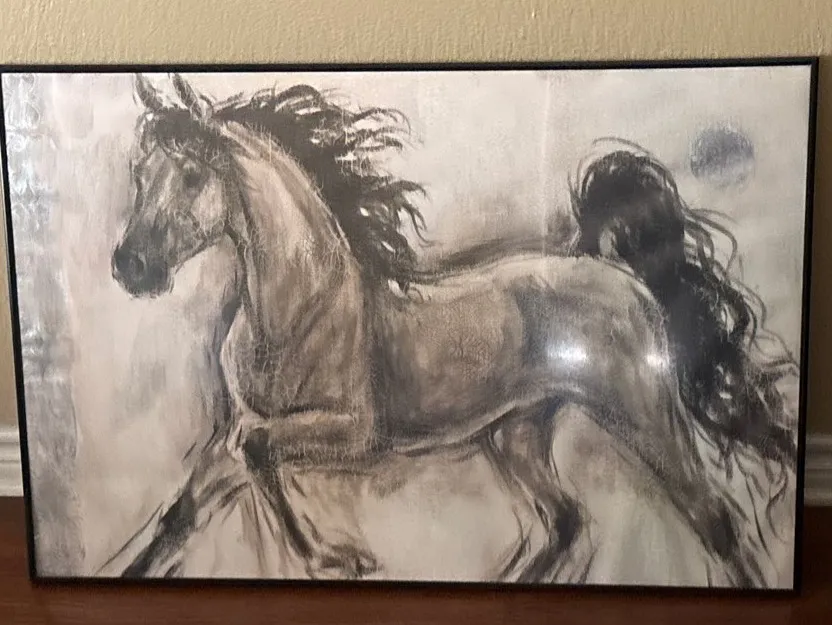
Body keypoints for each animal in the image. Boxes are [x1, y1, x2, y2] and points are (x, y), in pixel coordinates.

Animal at [98, 73, 774, 585]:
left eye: (192, 175)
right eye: (139, 172)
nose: (131, 266)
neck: (299, 312)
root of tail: (604, 264)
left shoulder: (355, 432)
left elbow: (259, 452)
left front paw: (341, 558)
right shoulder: (230, 433)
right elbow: (180, 516)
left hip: (644, 413)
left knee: (714, 519)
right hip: (518, 433)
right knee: (567, 523)